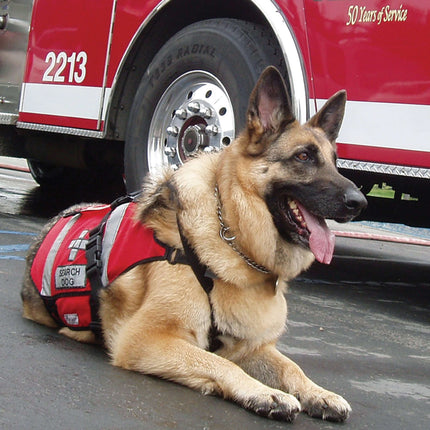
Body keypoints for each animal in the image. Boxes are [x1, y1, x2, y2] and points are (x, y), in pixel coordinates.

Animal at [21, 68, 366, 424]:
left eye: (335, 161)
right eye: (303, 156)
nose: (360, 203)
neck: (229, 234)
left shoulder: (253, 347)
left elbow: (291, 367)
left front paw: (319, 393)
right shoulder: (146, 338)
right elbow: (218, 361)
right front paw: (264, 393)